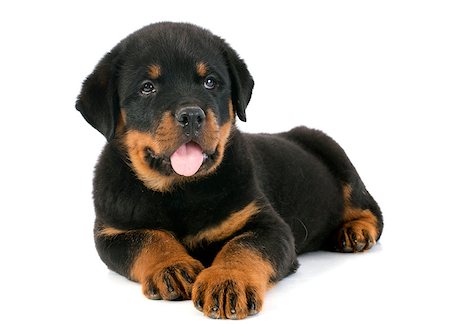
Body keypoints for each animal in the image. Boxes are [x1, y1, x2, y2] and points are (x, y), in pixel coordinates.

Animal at [76, 22, 384, 318]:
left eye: (210, 82)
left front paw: (228, 282)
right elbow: (148, 238)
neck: (181, 190)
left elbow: (243, 247)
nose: (192, 115)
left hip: (336, 155)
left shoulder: (268, 224)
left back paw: (355, 232)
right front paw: (173, 266)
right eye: (147, 87)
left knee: (372, 211)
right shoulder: (111, 232)